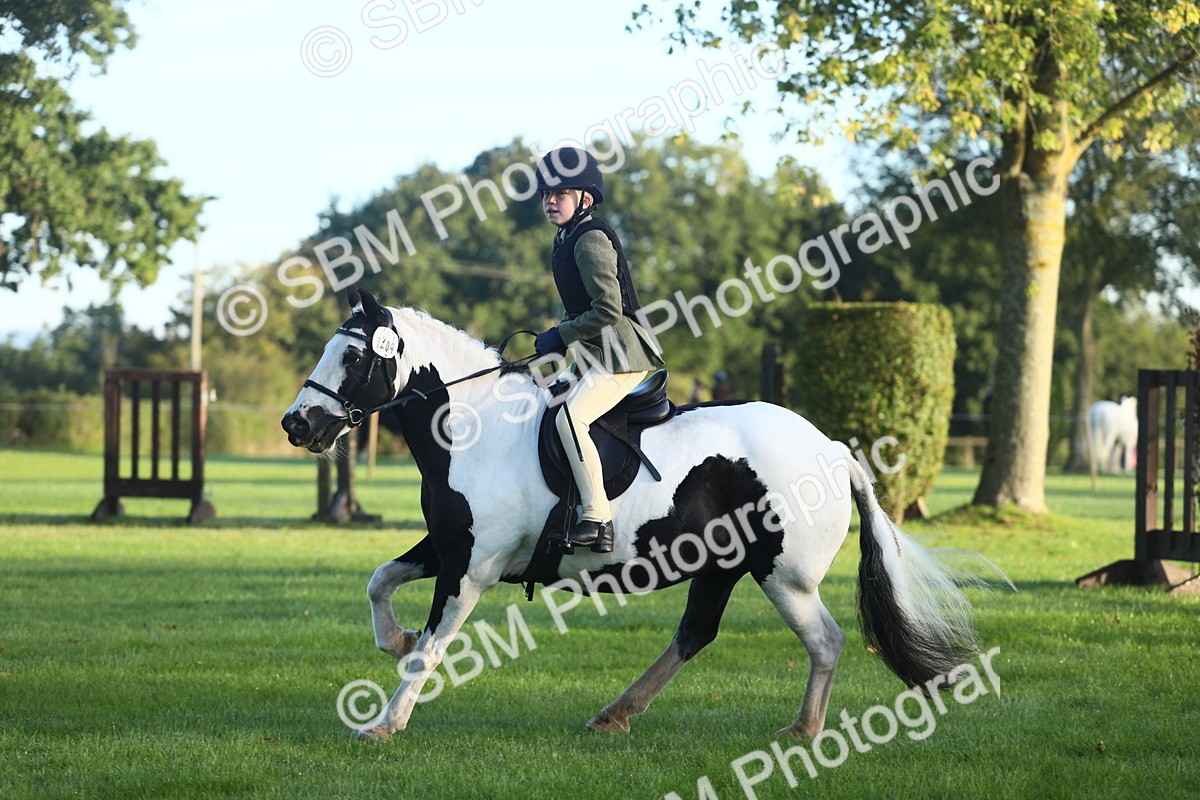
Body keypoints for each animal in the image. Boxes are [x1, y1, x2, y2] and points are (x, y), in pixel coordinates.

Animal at [281, 286, 983, 741]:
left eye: (352, 357)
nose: (298, 424)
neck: (475, 428)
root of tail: (833, 449)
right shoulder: (449, 546)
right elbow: (380, 583)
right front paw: (394, 638)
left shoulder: (471, 568)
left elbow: (431, 650)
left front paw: (385, 722)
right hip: (723, 567)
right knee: (695, 634)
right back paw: (616, 713)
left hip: (783, 576)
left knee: (825, 641)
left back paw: (804, 731)